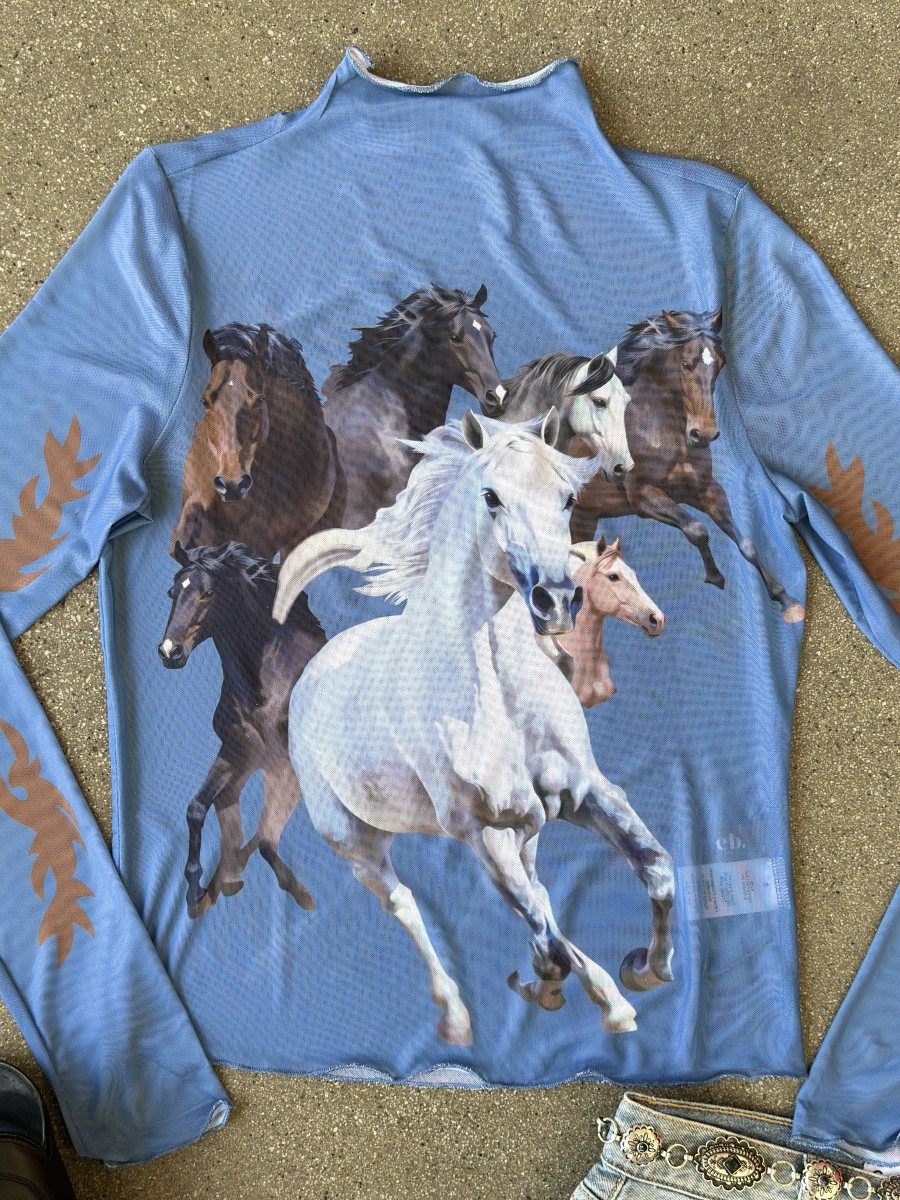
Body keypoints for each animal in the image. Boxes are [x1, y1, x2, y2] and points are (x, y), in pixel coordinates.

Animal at [158, 542, 326, 919]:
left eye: (208, 593)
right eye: (172, 593)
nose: (169, 652)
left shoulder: (284, 768)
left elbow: (265, 839)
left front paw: (301, 894)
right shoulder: (237, 754)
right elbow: (197, 809)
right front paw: (197, 891)